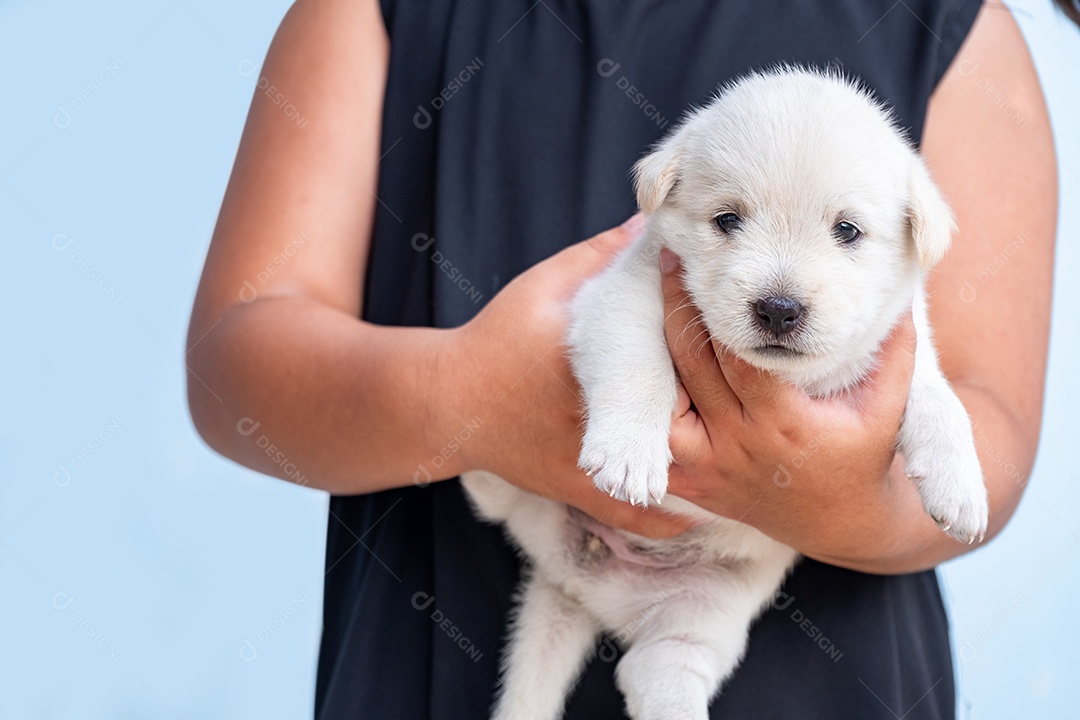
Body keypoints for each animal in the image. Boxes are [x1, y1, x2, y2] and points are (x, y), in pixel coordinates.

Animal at [462, 67, 989, 720]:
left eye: (847, 230)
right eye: (727, 220)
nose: (779, 309)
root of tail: (581, 585)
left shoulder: (901, 349)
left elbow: (942, 401)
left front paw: (960, 489)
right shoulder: (620, 300)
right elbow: (638, 366)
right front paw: (630, 454)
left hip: (699, 621)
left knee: (654, 673)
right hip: (534, 507)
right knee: (491, 496)